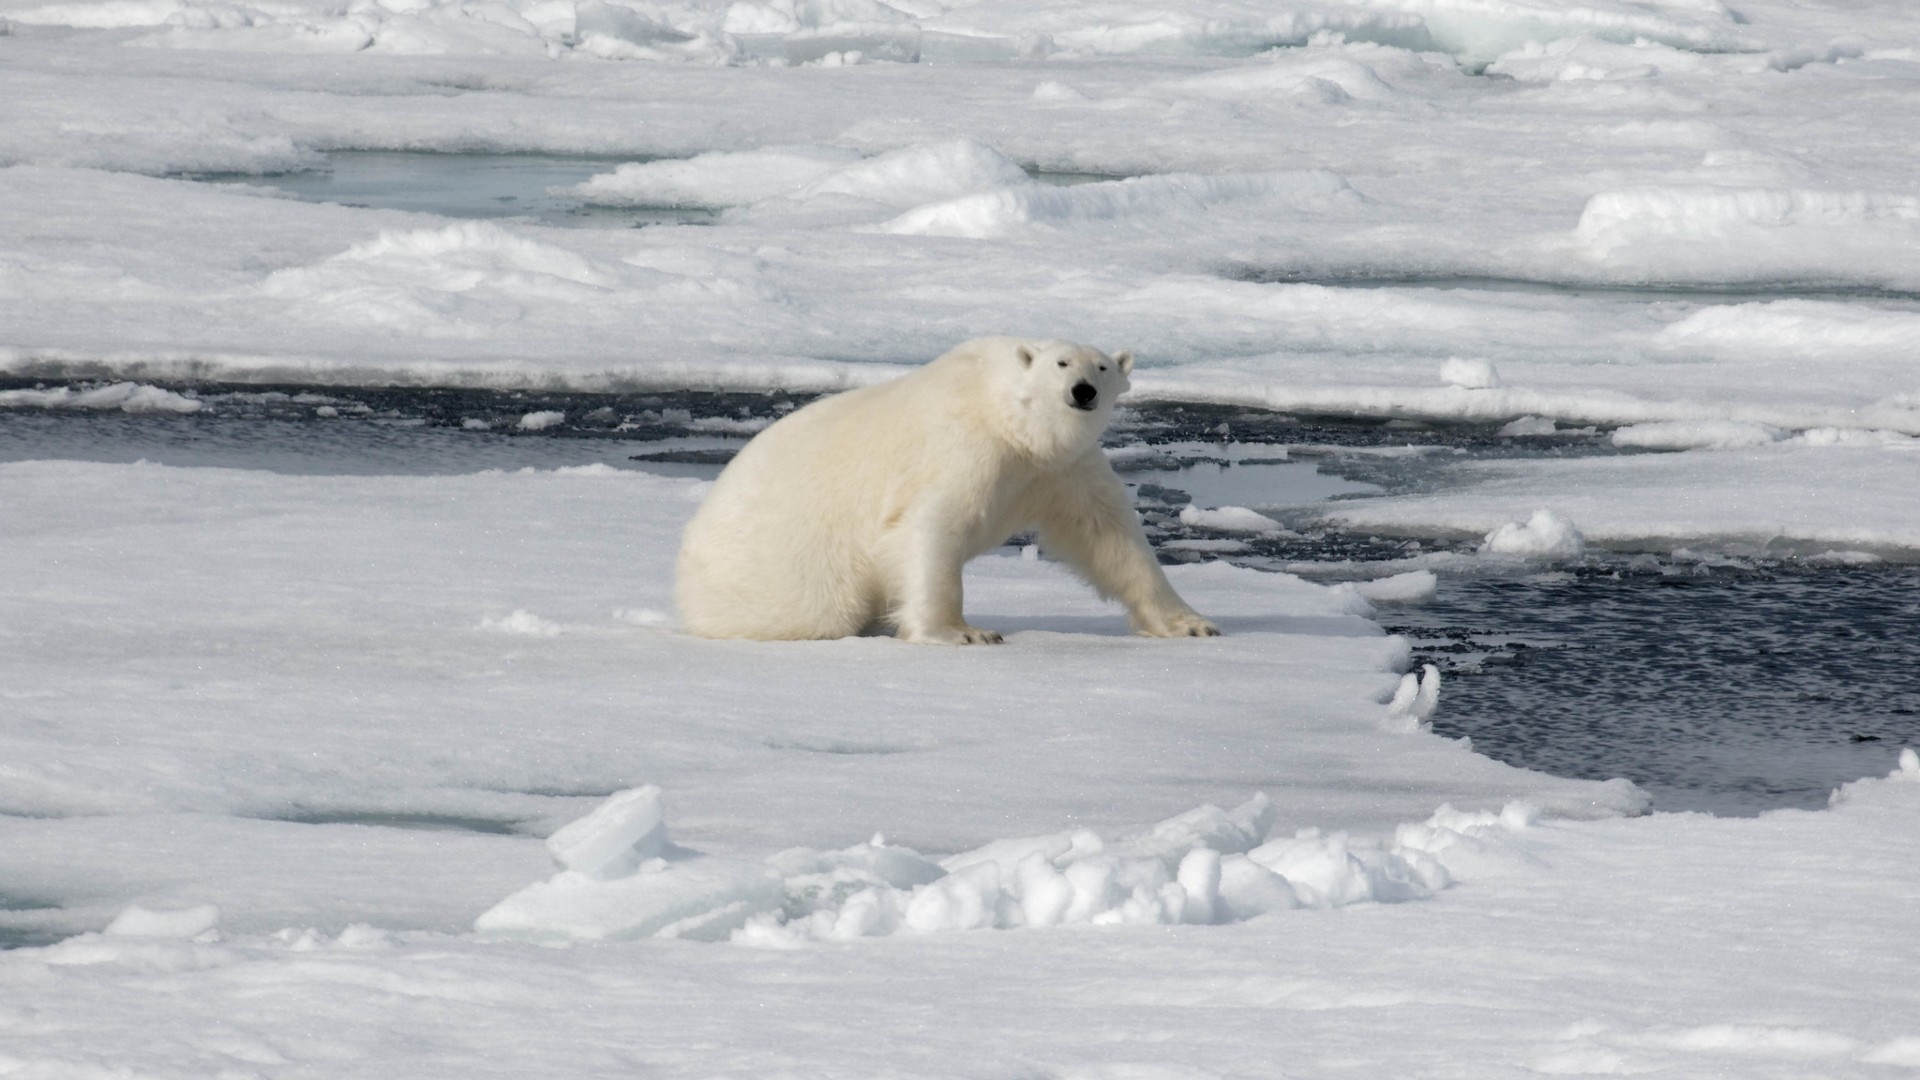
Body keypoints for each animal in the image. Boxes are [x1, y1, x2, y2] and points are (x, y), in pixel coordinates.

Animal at [675, 334, 1213, 638]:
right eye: (1060, 364)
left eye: (1101, 367)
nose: (1083, 392)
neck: (1008, 416)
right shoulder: (967, 447)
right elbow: (930, 525)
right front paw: (964, 633)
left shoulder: (1062, 468)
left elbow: (1110, 538)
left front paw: (1190, 623)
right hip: (793, 569)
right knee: (815, 612)